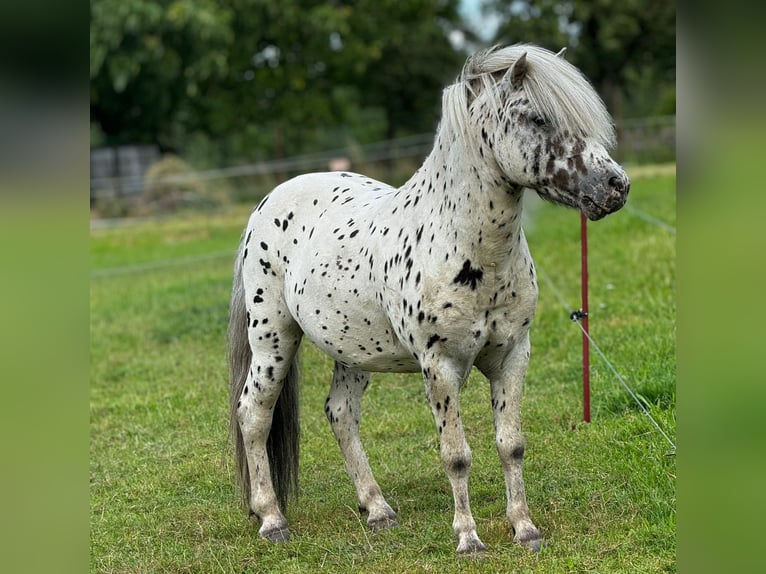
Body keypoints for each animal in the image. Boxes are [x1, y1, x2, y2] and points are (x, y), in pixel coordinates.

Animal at [226, 42, 632, 556]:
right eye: (539, 118)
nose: (616, 186)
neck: (465, 248)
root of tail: (268, 202)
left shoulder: (513, 357)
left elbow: (511, 445)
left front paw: (524, 529)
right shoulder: (440, 366)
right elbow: (456, 455)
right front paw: (468, 538)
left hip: (352, 352)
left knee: (341, 414)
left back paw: (378, 510)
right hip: (273, 341)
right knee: (254, 415)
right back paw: (272, 518)